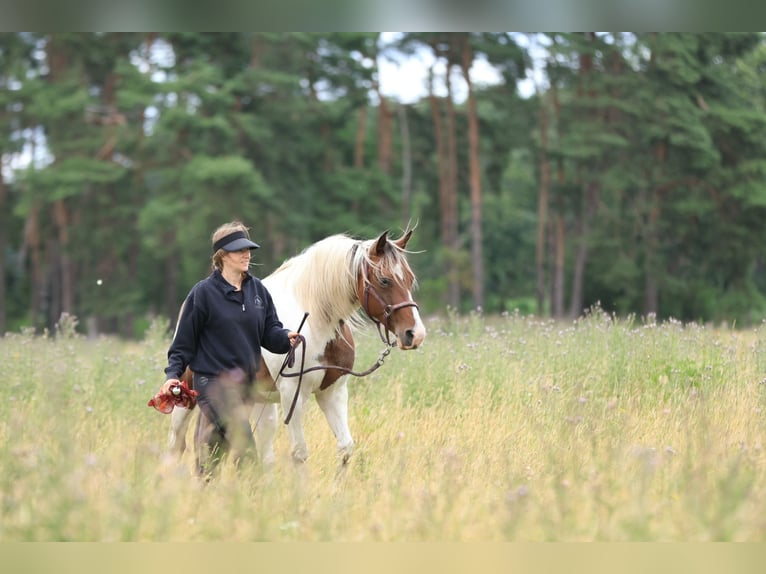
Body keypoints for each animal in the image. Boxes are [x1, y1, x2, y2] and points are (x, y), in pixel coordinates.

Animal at [165, 229, 426, 467]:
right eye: (384, 280)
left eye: (410, 279)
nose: (415, 334)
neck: (317, 321)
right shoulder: (293, 394)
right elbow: (299, 454)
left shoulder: (333, 392)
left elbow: (345, 448)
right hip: (187, 398)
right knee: (178, 444)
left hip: (258, 402)